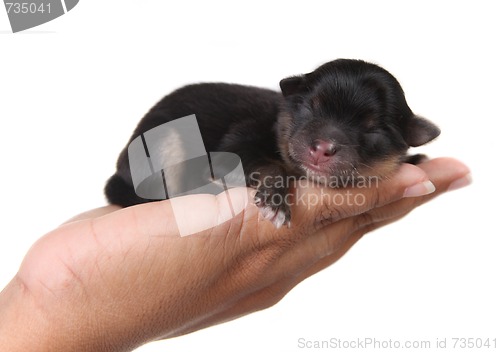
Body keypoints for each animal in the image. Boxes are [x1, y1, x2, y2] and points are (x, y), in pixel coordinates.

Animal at [104, 59, 438, 227]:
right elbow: (271, 166)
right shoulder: (238, 144)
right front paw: (275, 202)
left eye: (372, 132)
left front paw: (413, 159)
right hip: (165, 140)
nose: (322, 148)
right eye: (310, 108)